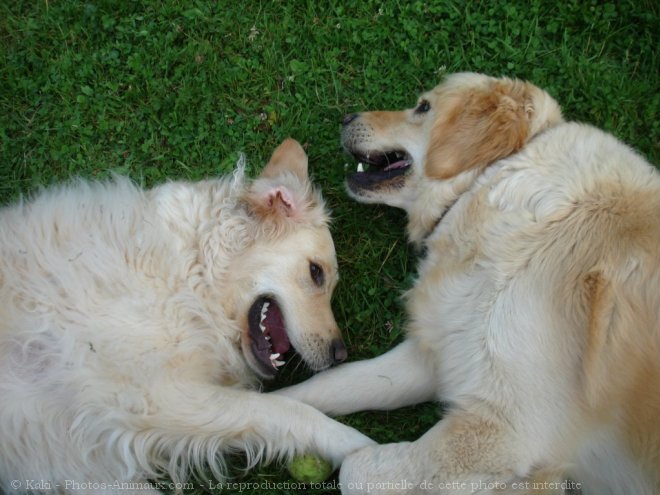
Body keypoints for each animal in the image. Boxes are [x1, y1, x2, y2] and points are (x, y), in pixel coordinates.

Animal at [0, 140, 374, 495]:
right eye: (316, 273)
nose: (341, 354)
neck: (191, 276)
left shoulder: (84, 455)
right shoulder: (152, 397)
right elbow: (290, 413)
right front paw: (364, 449)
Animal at [278, 74, 660, 495]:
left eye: (423, 107)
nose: (347, 117)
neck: (489, 183)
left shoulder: (505, 428)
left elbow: (357, 469)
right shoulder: (439, 354)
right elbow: (329, 385)